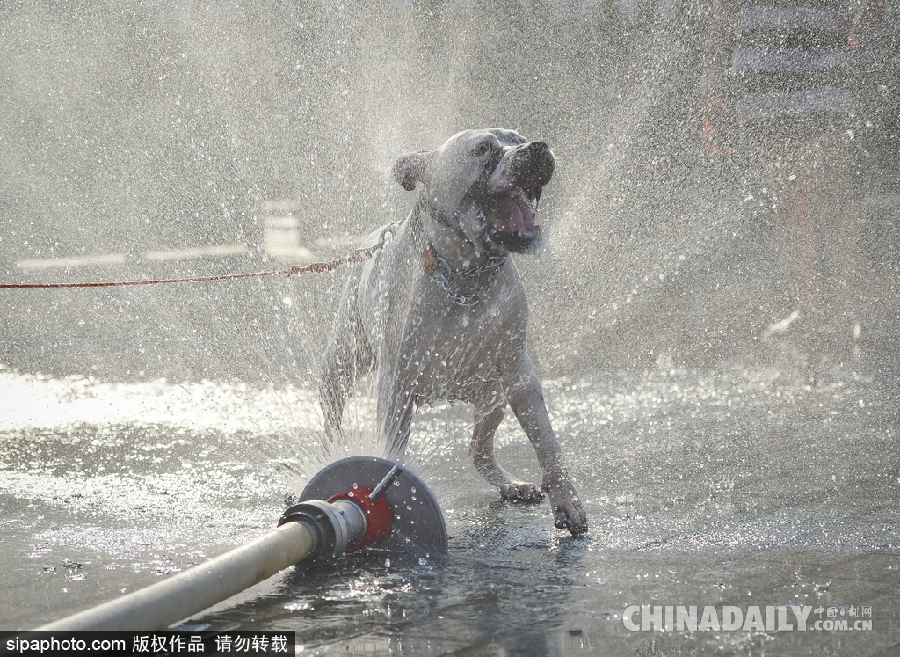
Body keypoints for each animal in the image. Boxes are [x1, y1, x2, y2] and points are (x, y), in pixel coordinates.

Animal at [320, 127, 588, 532]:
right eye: (483, 148)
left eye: (519, 137)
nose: (538, 147)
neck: (464, 275)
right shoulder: (397, 388)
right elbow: (390, 451)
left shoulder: (519, 373)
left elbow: (546, 440)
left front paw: (566, 499)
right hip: (341, 367)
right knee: (331, 419)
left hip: (492, 399)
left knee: (477, 449)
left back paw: (510, 484)